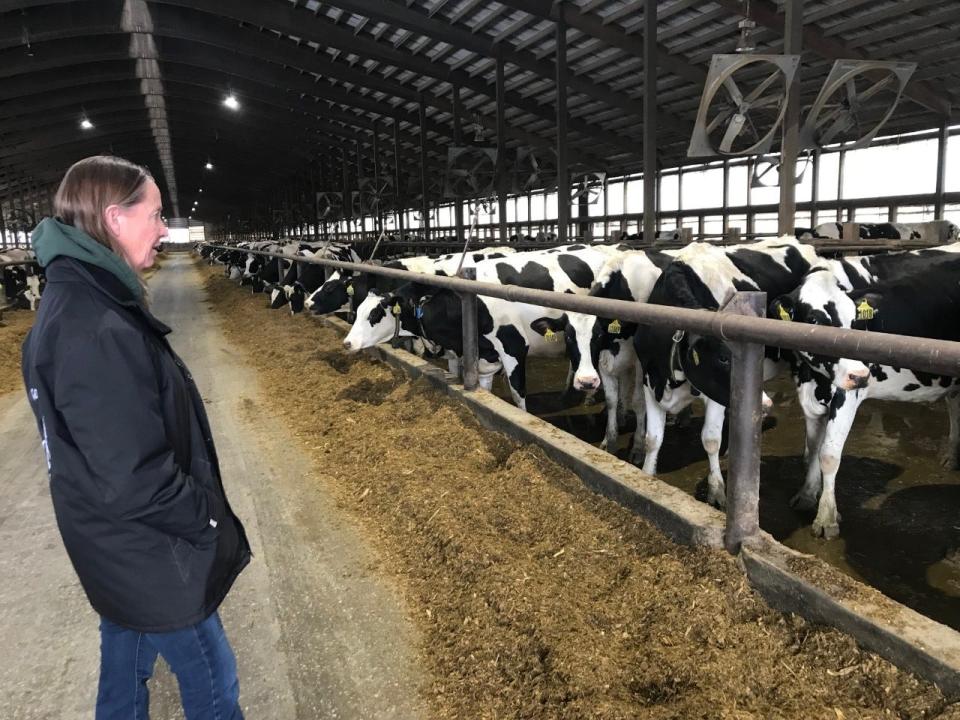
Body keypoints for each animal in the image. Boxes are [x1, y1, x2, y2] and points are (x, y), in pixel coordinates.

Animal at [344, 243, 624, 408]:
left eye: (375, 314)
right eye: (358, 309)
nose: (347, 342)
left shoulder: (514, 348)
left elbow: (518, 396)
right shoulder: (484, 357)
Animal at [632, 236, 816, 506]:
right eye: (722, 358)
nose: (765, 404)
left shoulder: (714, 396)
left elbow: (710, 439)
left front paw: (717, 490)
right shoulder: (650, 381)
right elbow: (653, 440)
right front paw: (646, 475)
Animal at [768, 245, 960, 536]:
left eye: (855, 321)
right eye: (814, 320)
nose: (860, 376)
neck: (813, 379)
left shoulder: (846, 396)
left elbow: (828, 455)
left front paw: (826, 518)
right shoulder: (808, 394)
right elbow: (812, 447)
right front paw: (807, 494)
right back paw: (951, 456)